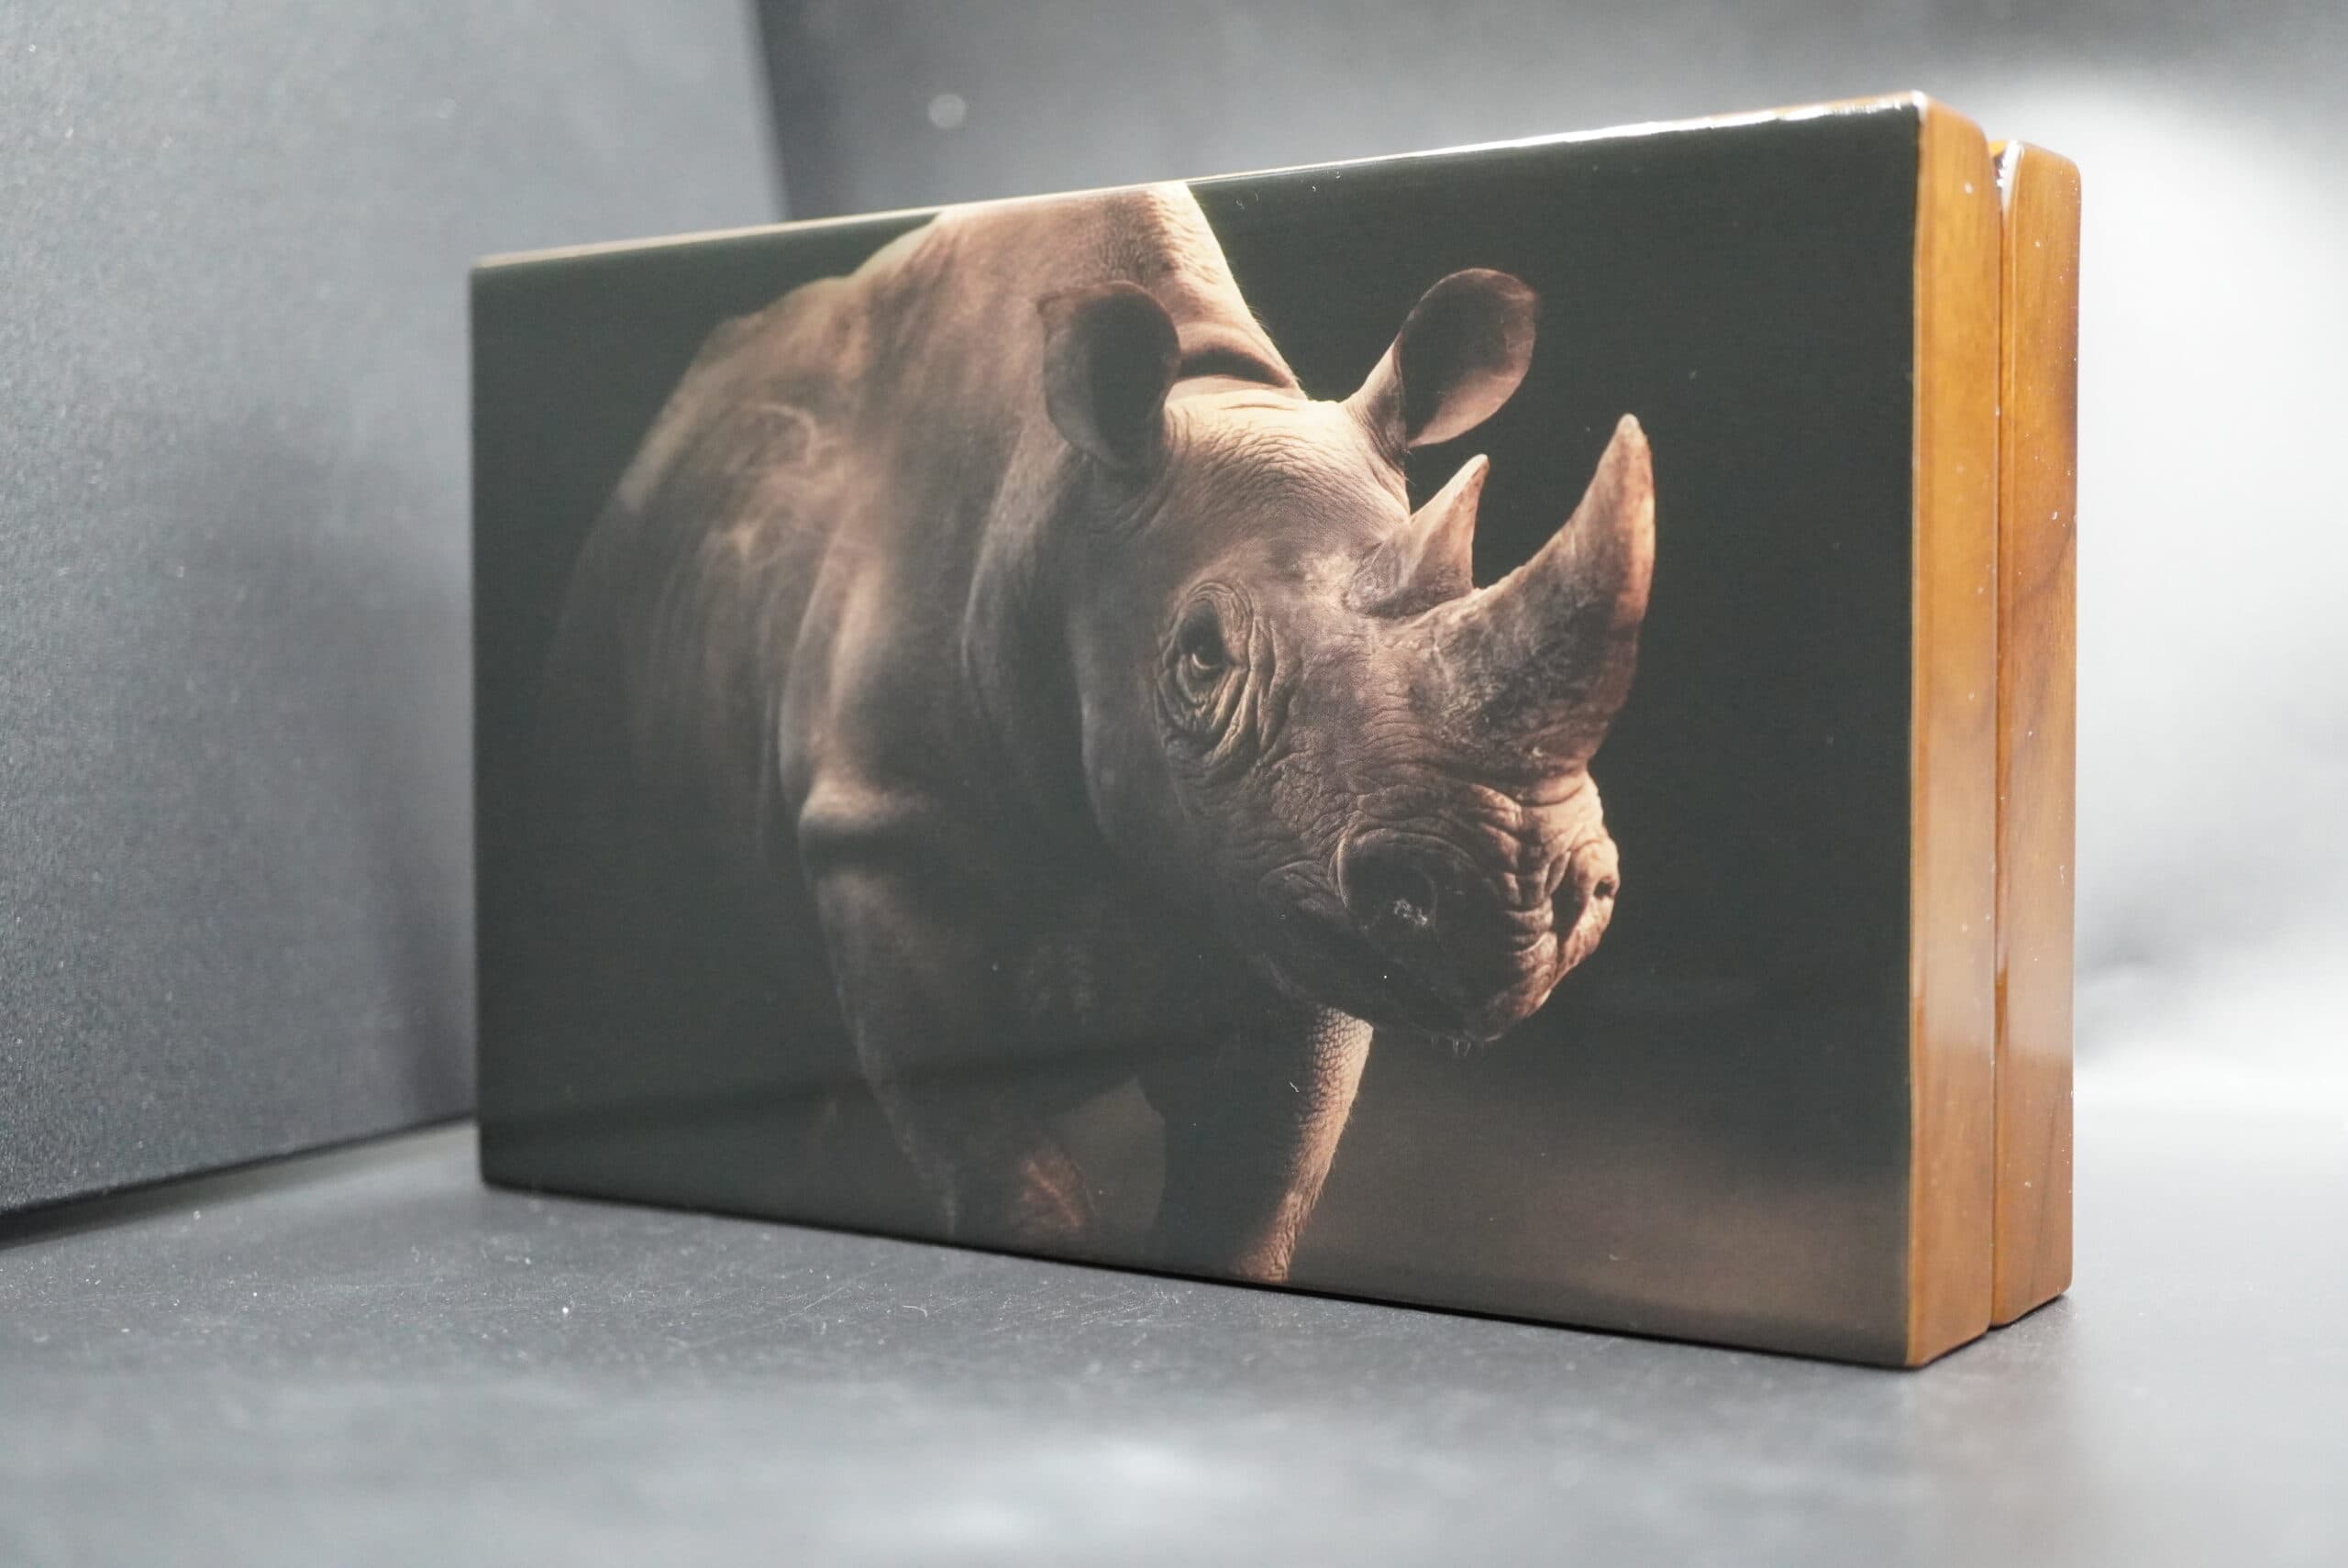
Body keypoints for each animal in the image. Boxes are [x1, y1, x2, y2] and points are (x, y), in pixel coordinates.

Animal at [529, 182, 1654, 1283]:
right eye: (1201, 659)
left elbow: (1250, 1193)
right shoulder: (885, 831)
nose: (1518, 900)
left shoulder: (1288, 887)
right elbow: (1012, 1180)